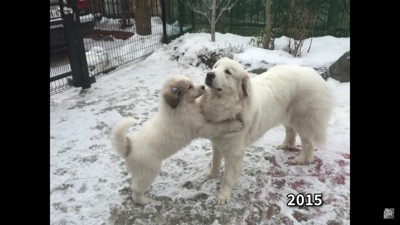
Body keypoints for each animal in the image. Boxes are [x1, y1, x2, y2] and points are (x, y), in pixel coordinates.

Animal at [110, 74, 244, 205]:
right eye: (189, 87)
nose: (203, 86)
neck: (179, 108)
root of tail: (129, 147)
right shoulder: (202, 127)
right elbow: (219, 126)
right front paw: (236, 124)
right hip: (148, 171)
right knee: (136, 190)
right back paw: (144, 201)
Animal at [200, 57, 334, 204]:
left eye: (228, 72)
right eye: (215, 66)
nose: (209, 74)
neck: (230, 104)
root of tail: (315, 75)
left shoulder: (235, 150)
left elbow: (228, 176)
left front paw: (223, 195)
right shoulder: (217, 140)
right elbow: (215, 161)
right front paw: (211, 174)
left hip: (304, 120)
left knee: (308, 143)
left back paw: (301, 159)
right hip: (287, 115)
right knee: (290, 131)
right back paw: (286, 145)